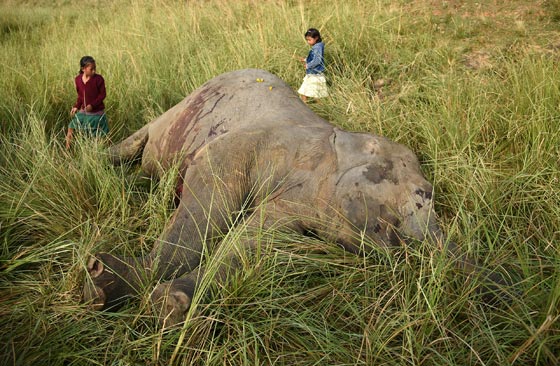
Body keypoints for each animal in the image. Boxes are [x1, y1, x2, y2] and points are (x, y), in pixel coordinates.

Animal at [84, 68, 508, 326]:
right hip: (175, 112)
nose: (502, 286)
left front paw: (169, 306)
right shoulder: (251, 145)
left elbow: (257, 241)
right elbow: (210, 199)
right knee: (132, 145)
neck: (335, 146)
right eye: (423, 194)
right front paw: (107, 286)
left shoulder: (301, 206)